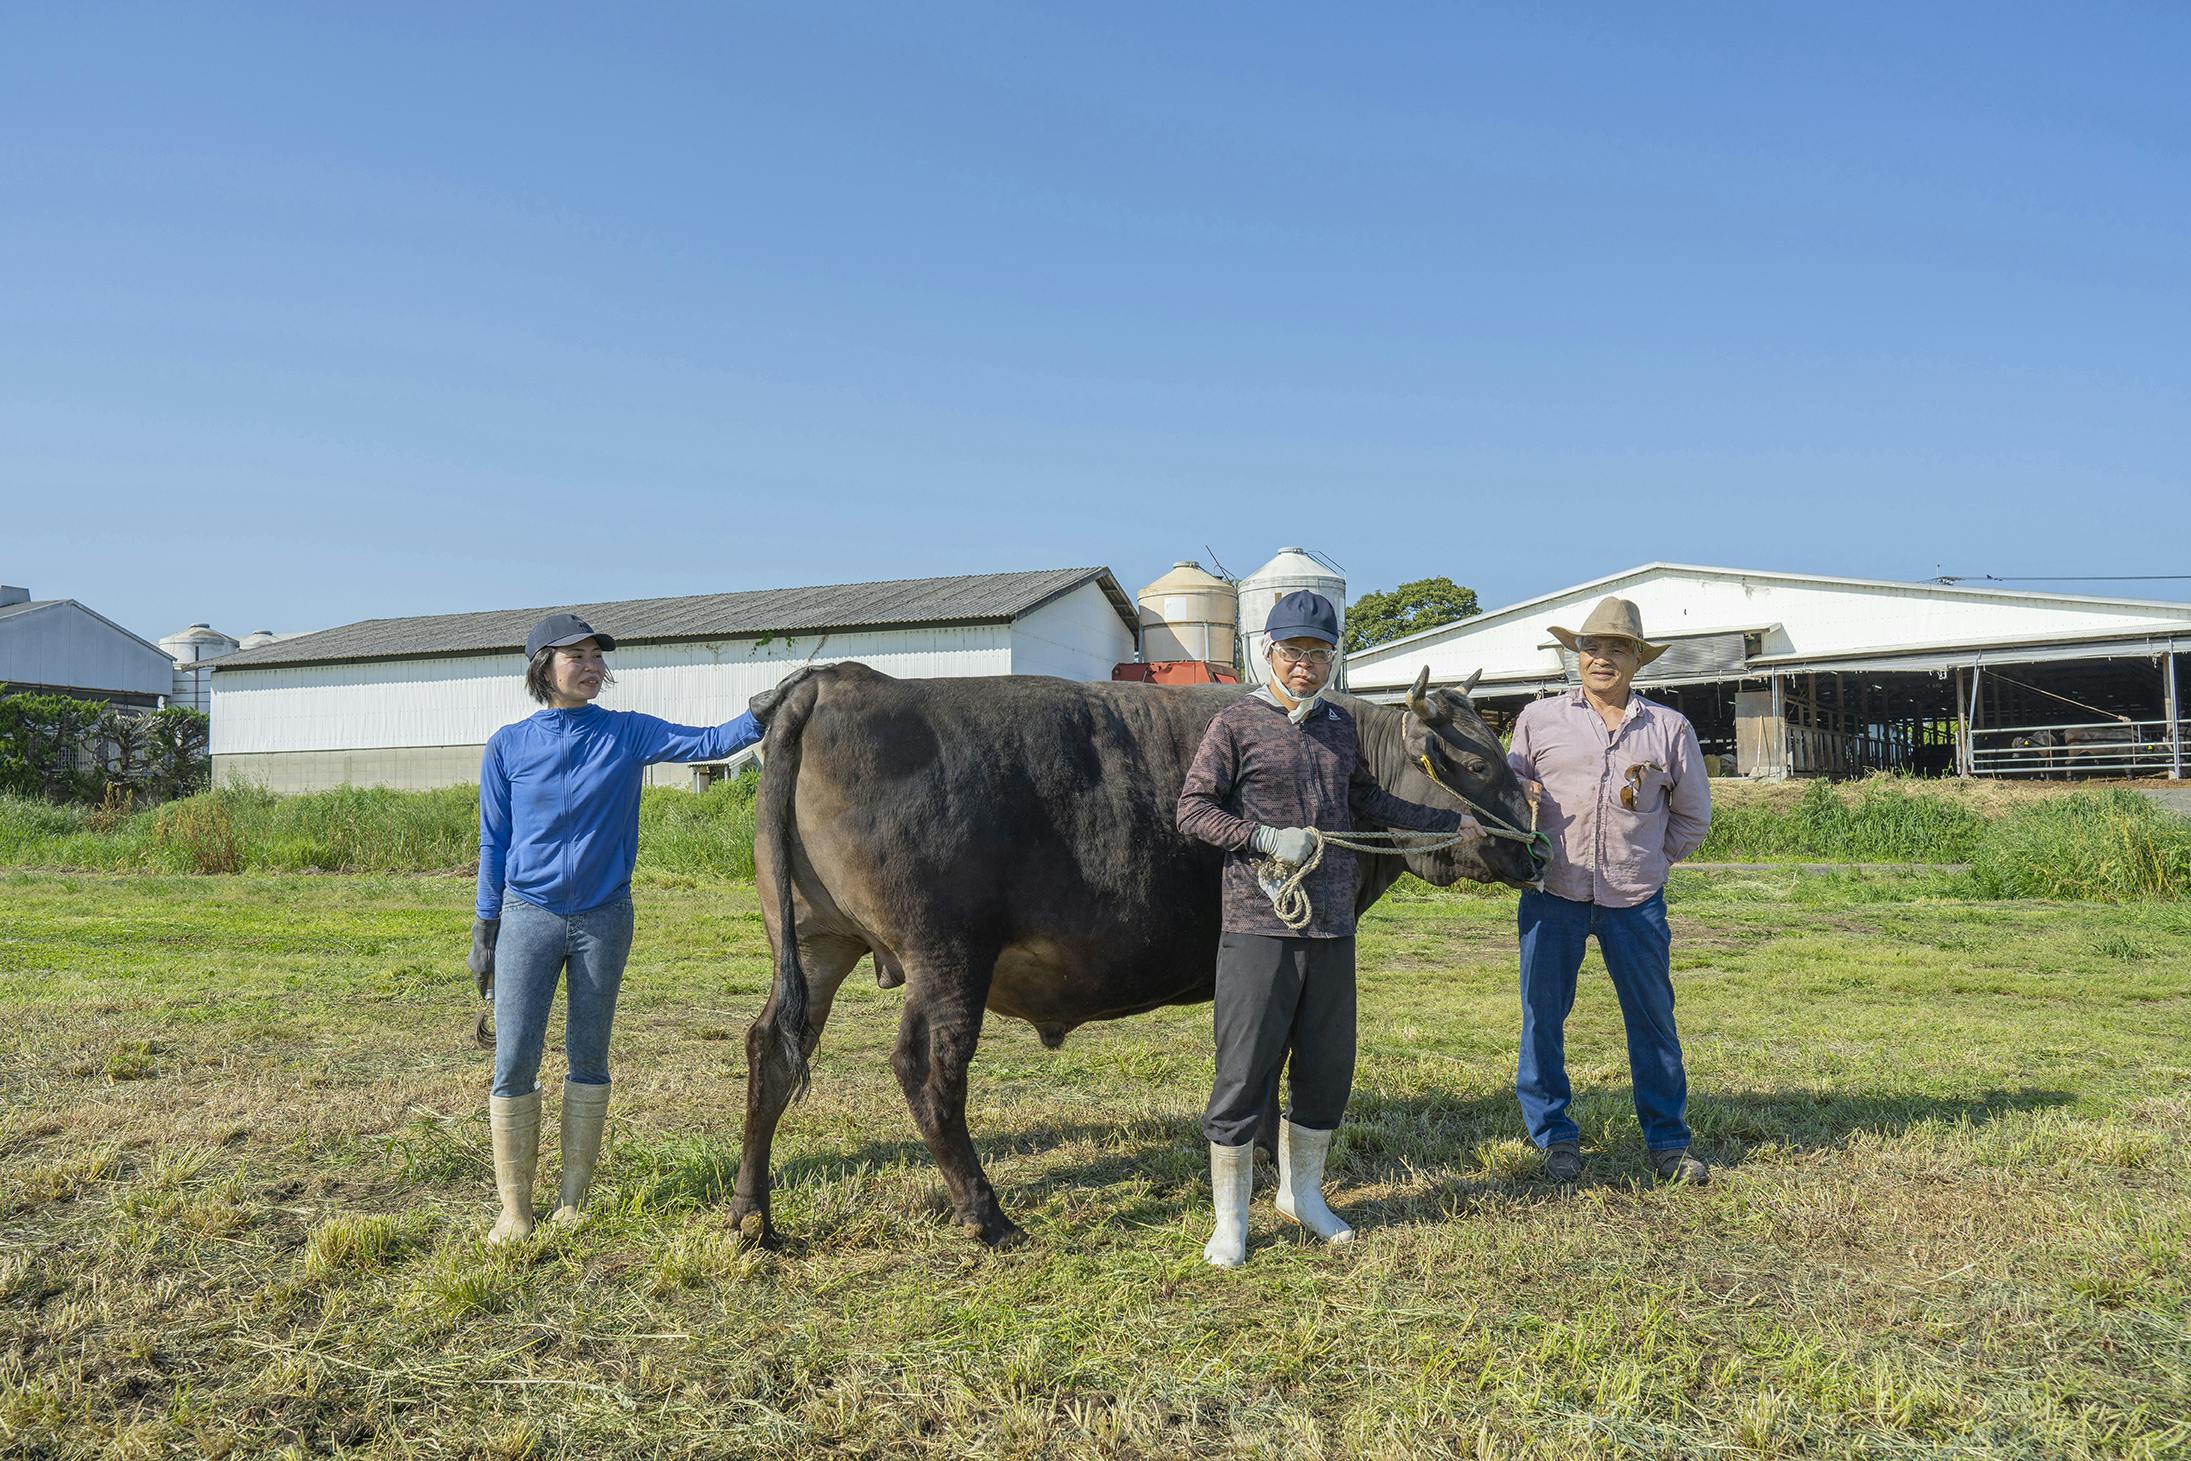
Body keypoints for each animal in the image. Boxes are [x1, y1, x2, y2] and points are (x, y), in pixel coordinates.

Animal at [727, 661, 1533, 1244]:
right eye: (1481, 769)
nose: (1536, 849)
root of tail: (838, 679)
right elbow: (1267, 1066)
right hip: (946, 956)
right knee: (928, 1071)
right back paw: (987, 1216)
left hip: (816, 940)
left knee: (772, 1047)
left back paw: (751, 1216)